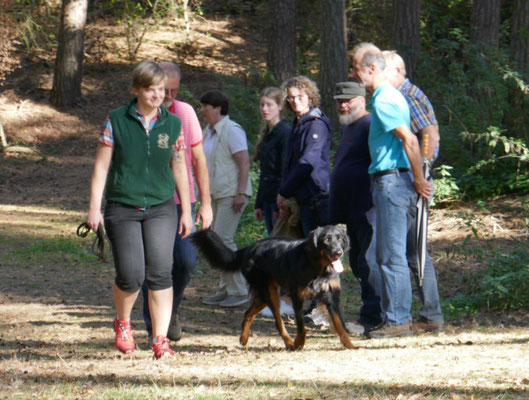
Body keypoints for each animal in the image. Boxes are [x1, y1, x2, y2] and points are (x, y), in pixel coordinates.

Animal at [190, 225, 354, 350]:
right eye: (326, 239)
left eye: (340, 238)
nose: (338, 252)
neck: (317, 266)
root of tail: (249, 248)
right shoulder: (297, 297)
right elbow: (301, 327)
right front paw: (299, 344)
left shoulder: (332, 297)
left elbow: (340, 324)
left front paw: (350, 345)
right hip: (270, 294)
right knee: (278, 322)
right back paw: (289, 343)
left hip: (264, 295)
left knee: (248, 313)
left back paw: (244, 338)